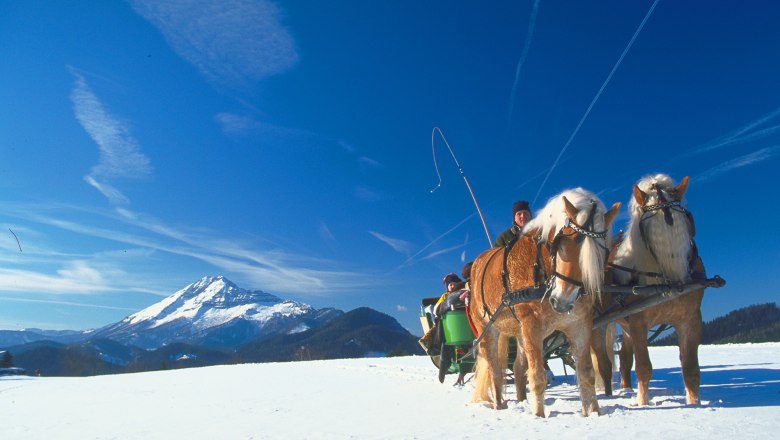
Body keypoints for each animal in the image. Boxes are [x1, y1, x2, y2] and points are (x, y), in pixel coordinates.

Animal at [466, 188, 620, 416]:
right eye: (563, 244)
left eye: (602, 251)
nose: (562, 301)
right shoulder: (532, 324)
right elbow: (538, 375)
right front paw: (538, 416)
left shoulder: (580, 323)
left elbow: (586, 373)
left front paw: (593, 413)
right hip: (488, 328)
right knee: (495, 369)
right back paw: (499, 405)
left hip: (520, 332)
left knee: (518, 368)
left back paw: (521, 400)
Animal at [596, 173, 708, 406]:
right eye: (648, 226)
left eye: (686, 218)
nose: (678, 283)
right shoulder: (638, 321)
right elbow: (644, 368)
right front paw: (642, 403)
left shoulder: (691, 319)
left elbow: (691, 369)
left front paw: (694, 404)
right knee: (601, 361)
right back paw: (607, 393)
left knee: (624, 358)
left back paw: (625, 389)